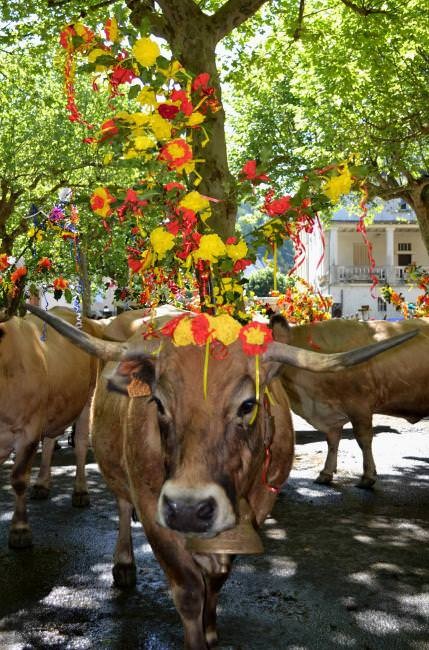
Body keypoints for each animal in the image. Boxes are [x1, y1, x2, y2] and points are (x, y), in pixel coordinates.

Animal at [0, 307, 103, 548]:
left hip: (87, 398)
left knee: (81, 445)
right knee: (49, 441)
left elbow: (19, 479)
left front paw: (20, 530)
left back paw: (80, 492)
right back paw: (42, 484)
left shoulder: (28, 430)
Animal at [271, 315, 428, 488]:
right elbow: (332, 441)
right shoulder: (331, 413)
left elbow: (363, 439)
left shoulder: (359, 406)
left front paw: (368, 476)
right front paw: (326, 473)